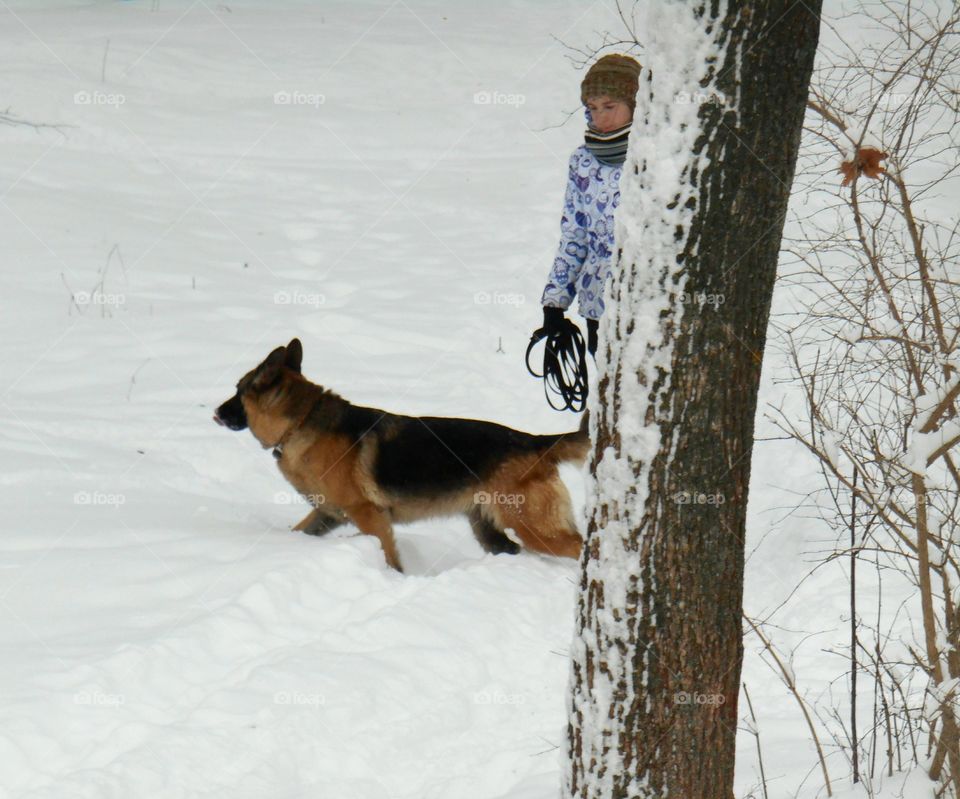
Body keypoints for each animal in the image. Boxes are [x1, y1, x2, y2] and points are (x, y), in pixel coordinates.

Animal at [215, 336, 588, 568]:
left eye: (237, 391)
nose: (216, 412)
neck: (301, 421)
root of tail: (535, 441)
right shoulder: (329, 514)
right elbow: (301, 530)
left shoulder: (370, 517)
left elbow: (389, 556)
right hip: (493, 532)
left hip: (532, 527)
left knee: (580, 545)